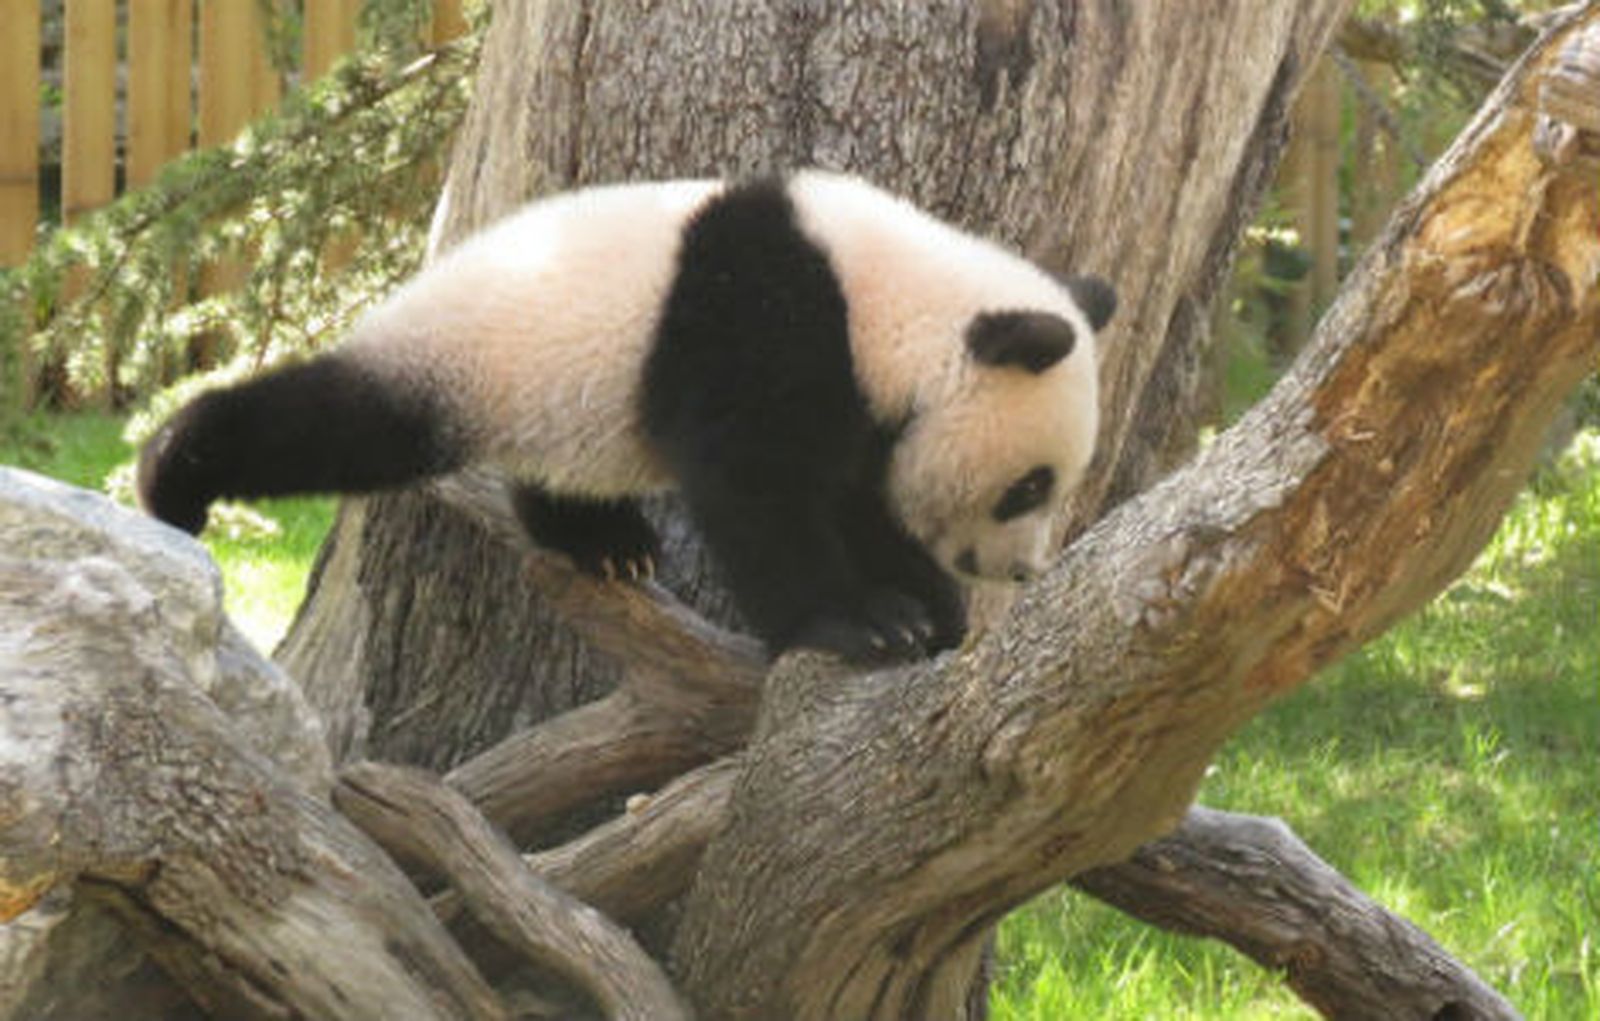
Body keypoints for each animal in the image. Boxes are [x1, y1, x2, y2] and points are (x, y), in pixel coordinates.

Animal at [137, 170, 1115, 662]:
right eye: (1028, 485)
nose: (1019, 571)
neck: (891, 297)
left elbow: (852, 497)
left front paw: (925, 604)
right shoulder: (766, 318)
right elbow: (757, 487)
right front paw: (858, 623)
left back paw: (603, 542)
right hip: (458, 360)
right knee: (335, 423)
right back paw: (174, 472)